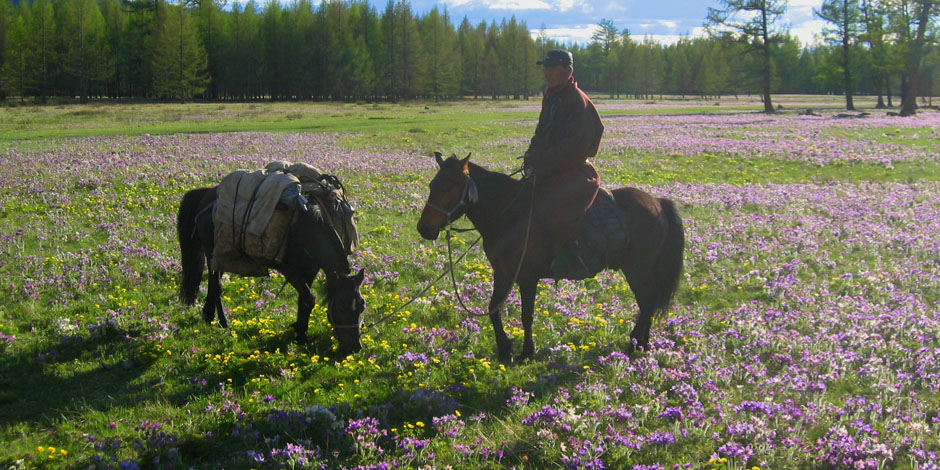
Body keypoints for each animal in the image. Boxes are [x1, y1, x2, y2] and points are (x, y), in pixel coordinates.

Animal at [176, 185, 368, 354]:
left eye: (362, 307)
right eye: (341, 308)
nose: (354, 348)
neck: (306, 230)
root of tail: (207, 195)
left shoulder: (311, 269)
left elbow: (304, 301)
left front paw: (299, 331)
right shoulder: (291, 271)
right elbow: (309, 299)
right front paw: (301, 334)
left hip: (222, 257)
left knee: (213, 284)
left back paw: (208, 316)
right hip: (213, 253)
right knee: (216, 286)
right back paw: (223, 322)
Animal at [416, 154, 684, 364]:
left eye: (449, 187)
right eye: (432, 185)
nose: (424, 229)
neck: (510, 215)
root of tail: (658, 202)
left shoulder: (527, 277)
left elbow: (526, 315)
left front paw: (526, 352)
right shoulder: (502, 272)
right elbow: (494, 308)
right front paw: (505, 349)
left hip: (637, 269)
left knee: (647, 302)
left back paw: (634, 343)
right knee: (647, 302)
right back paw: (642, 344)